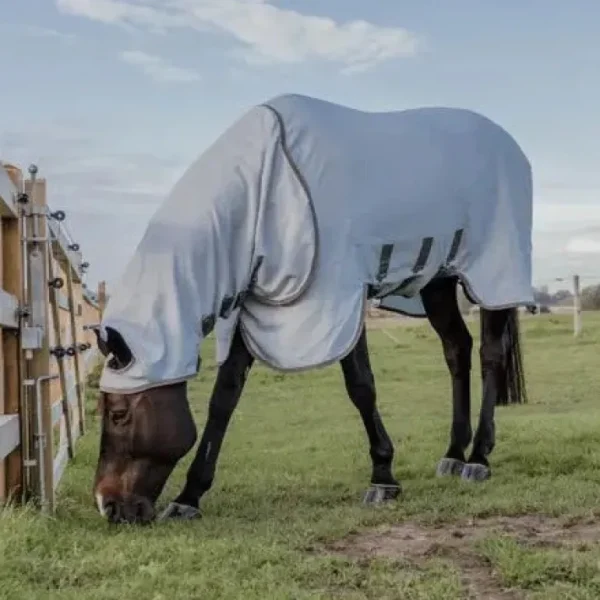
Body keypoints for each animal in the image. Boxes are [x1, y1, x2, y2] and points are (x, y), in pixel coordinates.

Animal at [91, 91, 532, 524]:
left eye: (118, 414)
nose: (108, 506)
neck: (266, 185)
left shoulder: (339, 298)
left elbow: (361, 387)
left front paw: (383, 478)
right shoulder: (258, 305)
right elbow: (223, 399)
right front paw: (189, 497)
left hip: (494, 273)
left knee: (490, 354)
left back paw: (478, 459)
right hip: (438, 281)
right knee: (456, 349)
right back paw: (453, 454)